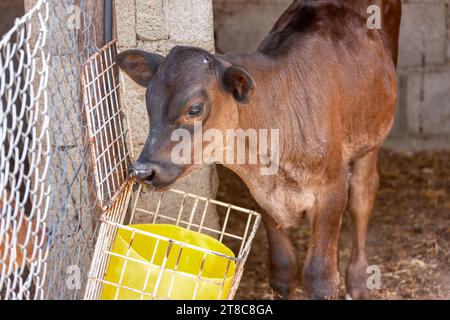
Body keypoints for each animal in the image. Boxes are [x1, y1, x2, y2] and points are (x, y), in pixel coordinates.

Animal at [116, 0, 400, 300]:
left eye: (195, 108)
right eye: (149, 102)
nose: (143, 170)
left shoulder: (332, 186)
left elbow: (320, 278)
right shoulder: (262, 193)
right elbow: (284, 270)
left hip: (373, 132)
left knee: (362, 193)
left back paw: (359, 279)